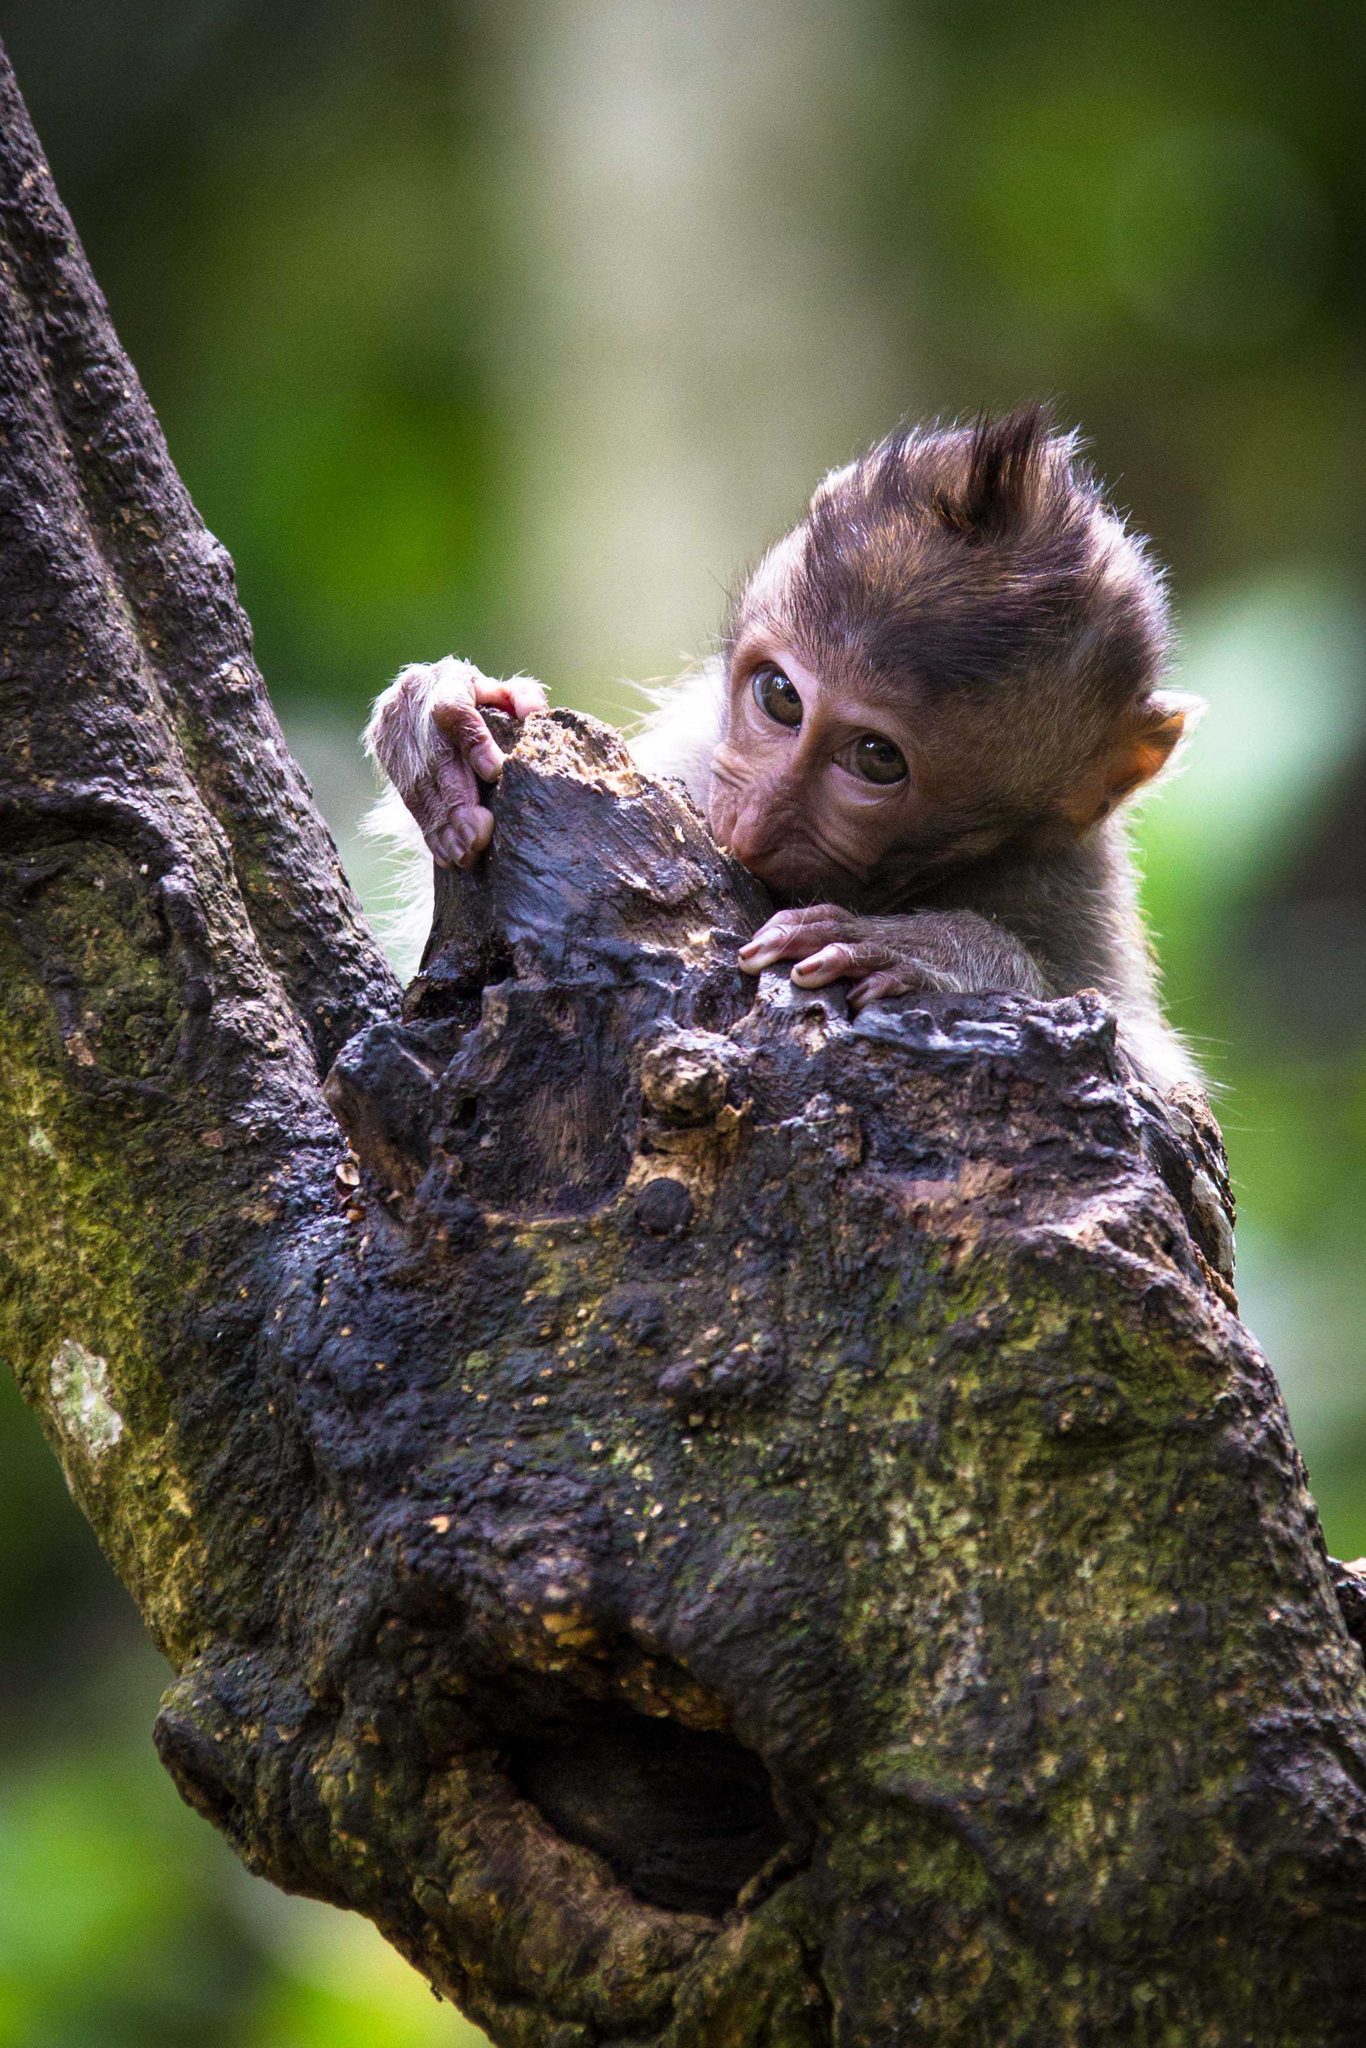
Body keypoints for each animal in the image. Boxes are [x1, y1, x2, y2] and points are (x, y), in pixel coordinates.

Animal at [364, 407, 1201, 1096]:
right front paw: (444, 721)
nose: (754, 819)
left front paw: (931, 949)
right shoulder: (701, 750)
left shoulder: (1072, 879)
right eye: (781, 698)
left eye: (877, 759)